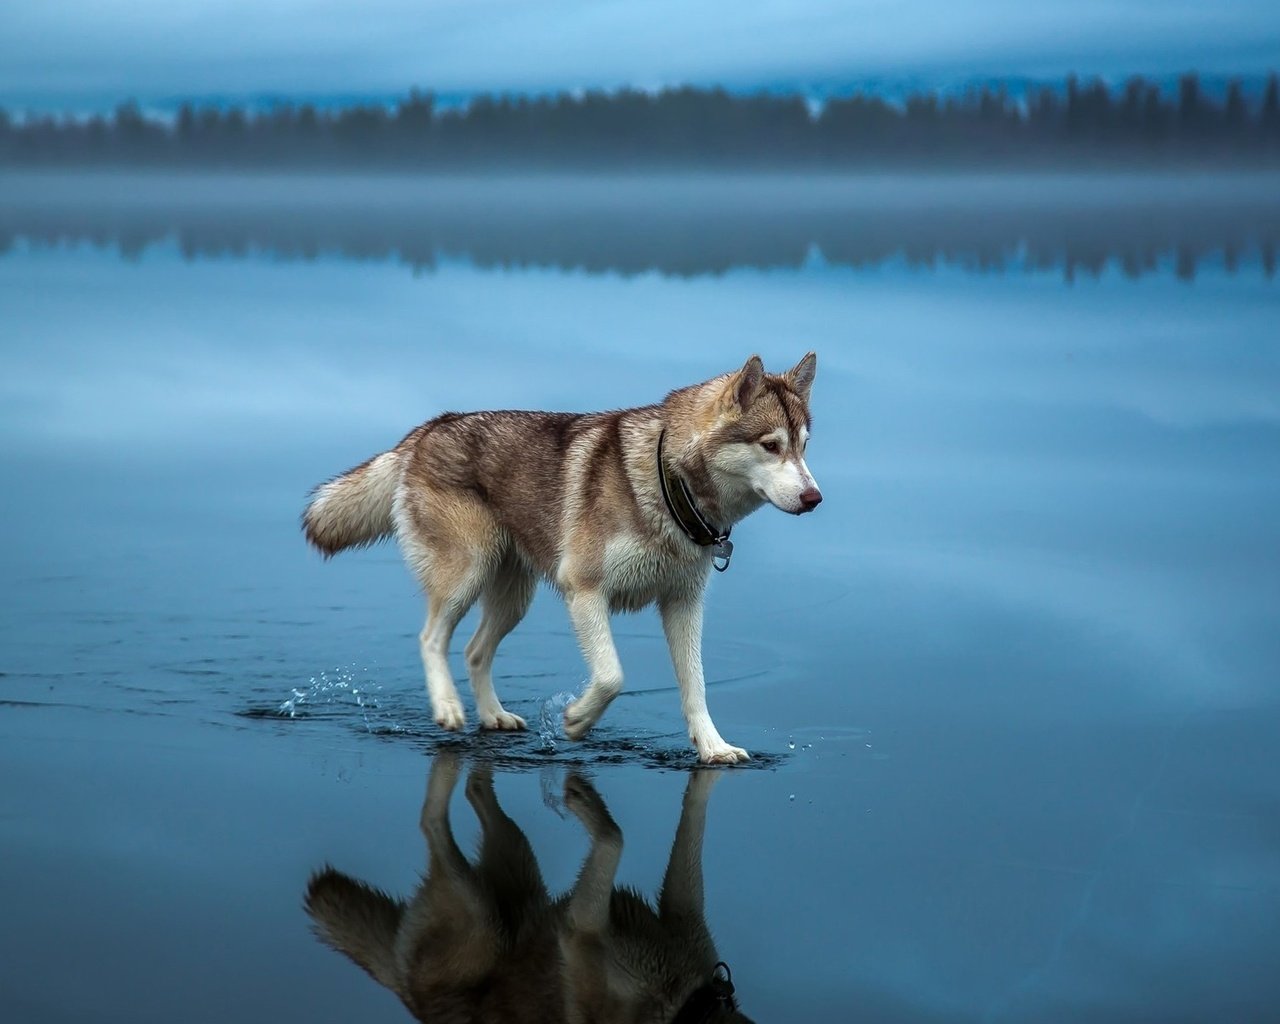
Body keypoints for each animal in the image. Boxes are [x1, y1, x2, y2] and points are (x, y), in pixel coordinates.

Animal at [302, 353, 819, 757]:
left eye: (803, 447)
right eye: (770, 445)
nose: (815, 498)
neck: (669, 484)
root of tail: (429, 427)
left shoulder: (683, 604)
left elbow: (696, 687)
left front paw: (713, 748)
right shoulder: (584, 591)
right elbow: (611, 676)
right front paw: (576, 720)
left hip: (514, 598)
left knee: (474, 651)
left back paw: (493, 715)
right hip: (466, 575)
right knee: (432, 638)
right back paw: (448, 707)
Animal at [304, 752, 752, 1024]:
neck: (687, 1004)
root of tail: (405, 993)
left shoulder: (682, 909)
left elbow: (692, 822)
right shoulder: (581, 929)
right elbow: (615, 837)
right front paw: (582, 800)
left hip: (518, 864)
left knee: (475, 792)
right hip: (482, 915)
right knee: (431, 822)